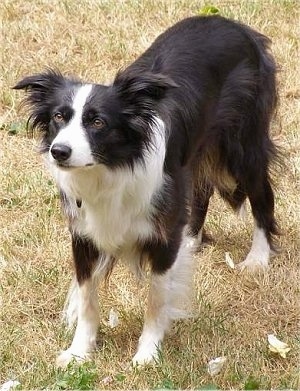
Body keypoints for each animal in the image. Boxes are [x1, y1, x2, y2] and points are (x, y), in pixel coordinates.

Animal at [14, 15, 278, 368]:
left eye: (97, 122)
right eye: (59, 116)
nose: (59, 152)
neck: (112, 168)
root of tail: (235, 25)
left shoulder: (161, 235)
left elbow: (156, 298)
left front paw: (147, 354)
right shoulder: (83, 233)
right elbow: (87, 297)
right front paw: (79, 351)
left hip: (242, 143)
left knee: (261, 193)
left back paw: (258, 257)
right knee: (200, 192)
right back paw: (191, 240)